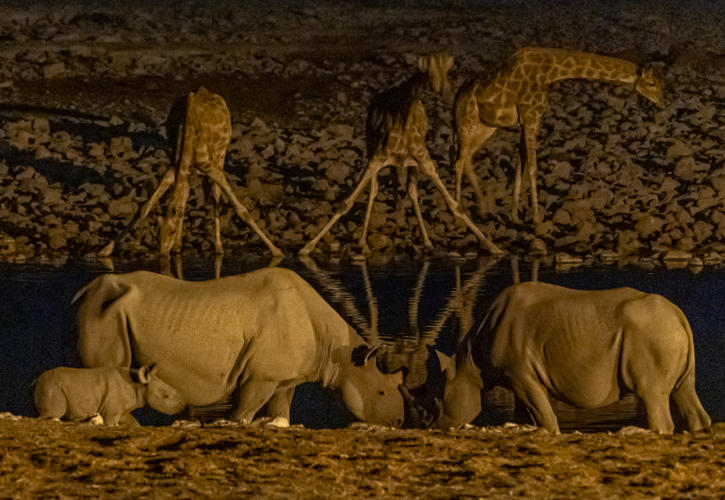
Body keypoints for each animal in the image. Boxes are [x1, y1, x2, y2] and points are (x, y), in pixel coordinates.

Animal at [35, 364, 185, 426]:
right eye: (165, 396)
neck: (139, 385)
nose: (183, 406)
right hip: (52, 386)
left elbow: (133, 422)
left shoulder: (122, 410)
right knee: (54, 412)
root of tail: (35, 381)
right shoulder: (112, 410)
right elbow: (111, 423)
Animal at [100, 87, 282, 258]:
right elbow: (147, 207)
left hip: (220, 155)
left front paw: (276, 251)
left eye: (171, 231)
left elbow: (241, 210)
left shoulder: (209, 166)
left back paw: (218, 248)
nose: (163, 253)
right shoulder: (175, 166)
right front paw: (106, 250)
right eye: (158, 233)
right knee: (187, 195)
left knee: (215, 195)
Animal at [456, 47, 664, 234]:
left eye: (661, 83)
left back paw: (482, 208)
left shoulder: (529, 120)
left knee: (467, 158)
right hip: (468, 122)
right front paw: (536, 219)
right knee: (459, 161)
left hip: (486, 127)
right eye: (651, 83)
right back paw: (458, 212)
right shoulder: (531, 117)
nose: (663, 102)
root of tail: (456, 99)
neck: (551, 71)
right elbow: (532, 168)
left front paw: (515, 216)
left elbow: (520, 166)